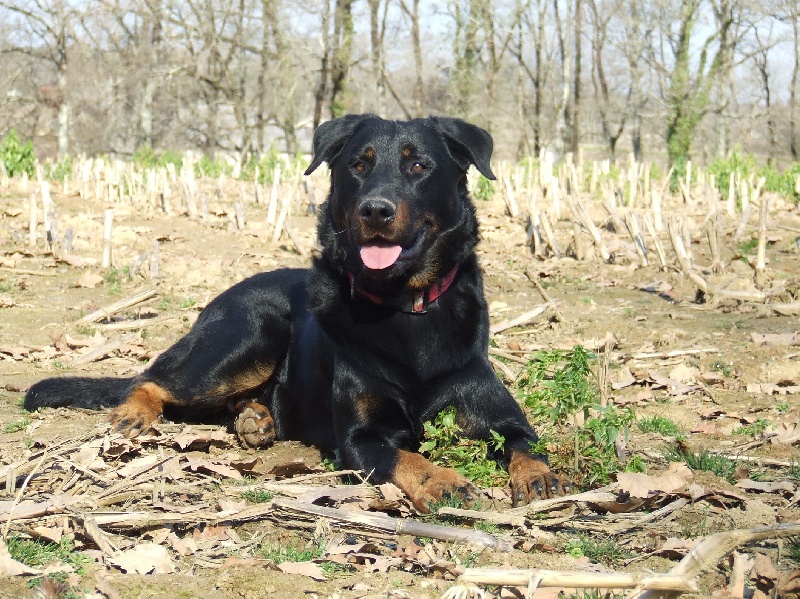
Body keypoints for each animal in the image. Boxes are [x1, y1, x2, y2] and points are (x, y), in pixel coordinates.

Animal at [23, 115, 568, 512]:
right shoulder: (362, 440)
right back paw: (137, 413)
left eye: (418, 167)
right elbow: (408, 458)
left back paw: (255, 418)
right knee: (152, 379)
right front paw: (443, 481)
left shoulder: (499, 415)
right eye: (359, 166)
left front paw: (541, 477)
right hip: (247, 338)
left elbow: (526, 443)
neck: (405, 307)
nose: (375, 210)